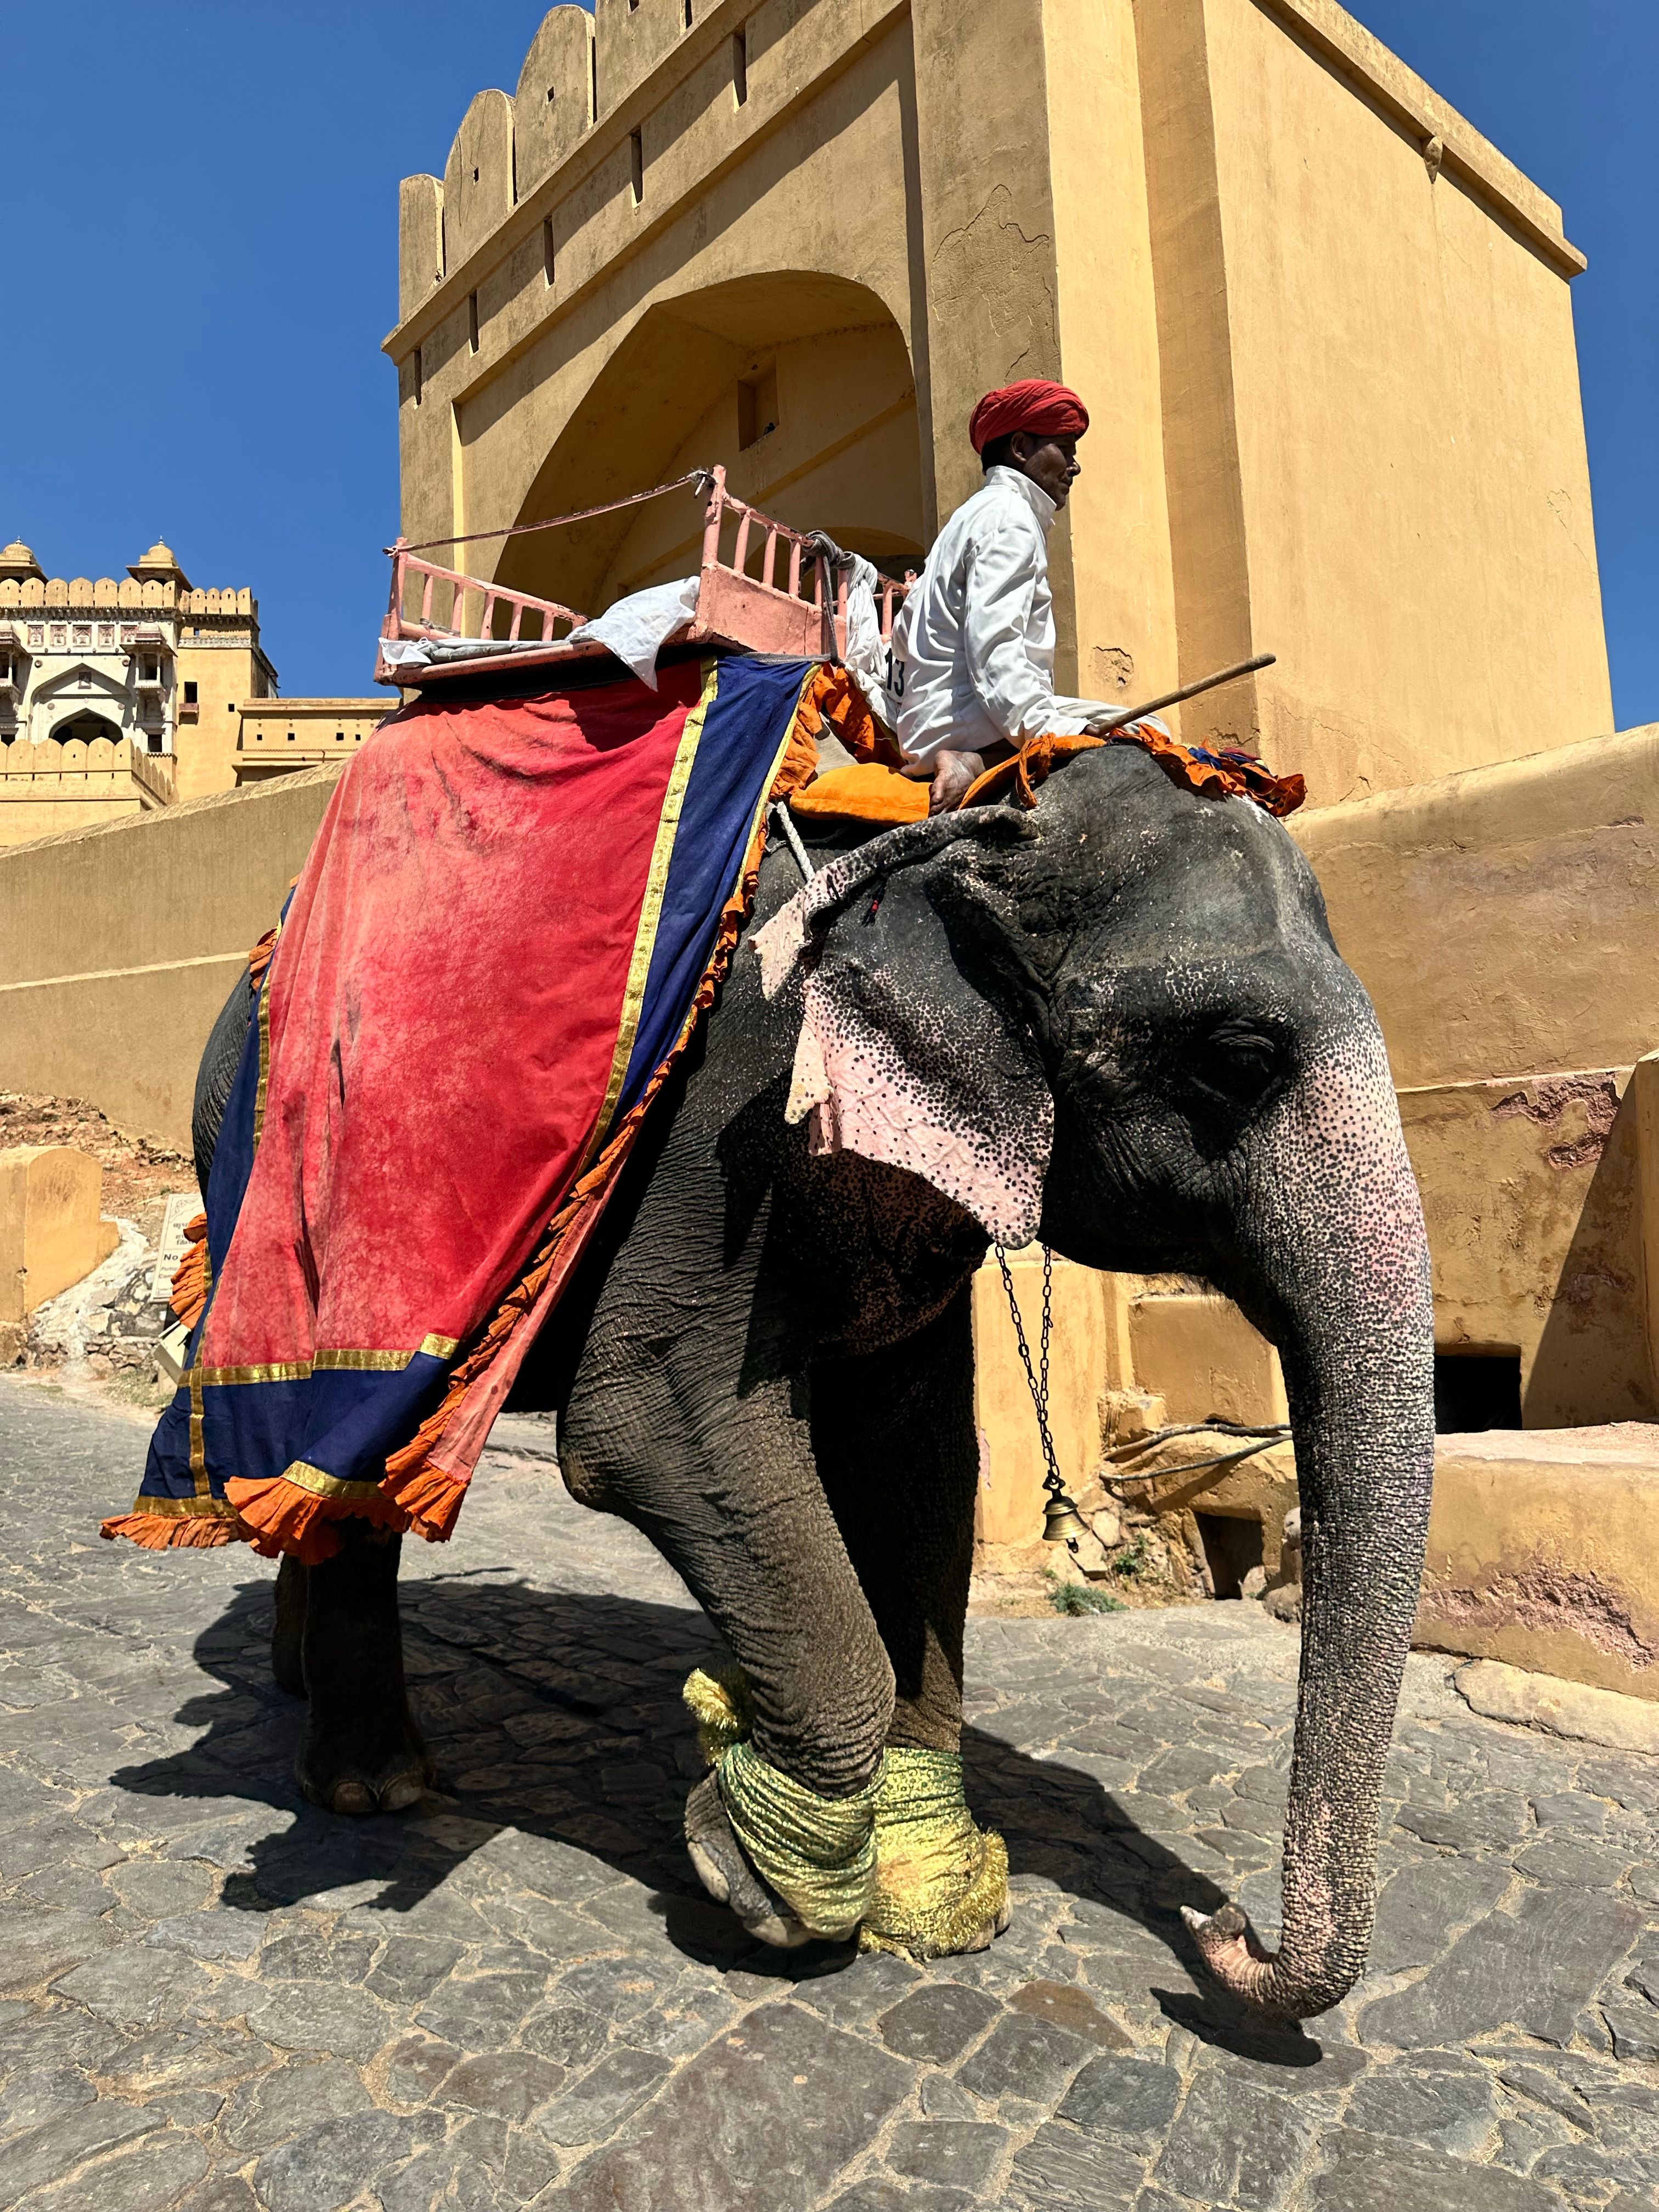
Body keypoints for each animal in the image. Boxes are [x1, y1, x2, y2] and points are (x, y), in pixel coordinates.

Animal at [189, 738, 1434, 2020]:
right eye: (1239, 1058)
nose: (1223, 1928)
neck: (949, 842)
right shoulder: (725, 1124)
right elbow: (649, 1421)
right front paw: (762, 1882)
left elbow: (918, 1459)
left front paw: (935, 1897)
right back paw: (373, 1785)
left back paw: (295, 1684)